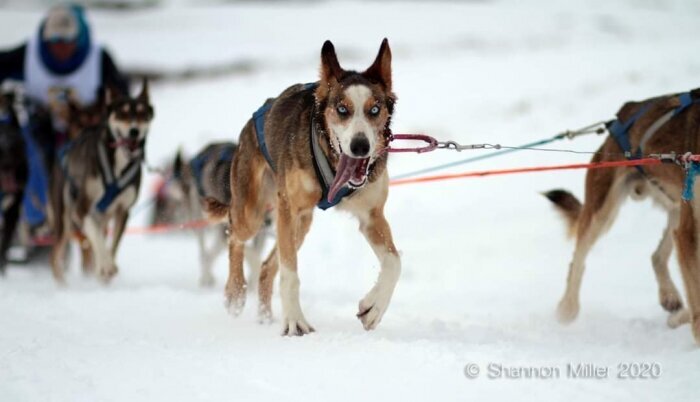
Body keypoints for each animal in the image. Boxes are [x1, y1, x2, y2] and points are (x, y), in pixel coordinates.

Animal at [51, 80, 154, 284]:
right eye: (122, 113)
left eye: (142, 114)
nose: (134, 131)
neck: (118, 165)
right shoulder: (82, 209)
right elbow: (96, 238)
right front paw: (105, 266)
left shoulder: (123, 210)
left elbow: (112, 245)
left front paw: (108, 266)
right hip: (64, 220)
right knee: (56, 256)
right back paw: (63, 284)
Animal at [205, 38, 400, 336]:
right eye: (342, 109)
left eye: (374, 109)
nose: (360, 146)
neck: (332, 161)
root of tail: (250, 124)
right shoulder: (289, 209)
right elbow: (290, 274)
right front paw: (295, 321)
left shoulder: (372, 216)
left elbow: (394, 263)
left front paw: (373, 308)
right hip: (254, 213)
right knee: (233, 235)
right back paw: (235, 292)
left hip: (302, 224)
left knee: (266, 268)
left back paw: (265, 317)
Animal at [544, 89, 700, 344]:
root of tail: (624, 111)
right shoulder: (690, 231)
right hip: (603, 210)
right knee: (578, 258)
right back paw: (566, 309)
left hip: (676, 210)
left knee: (657, 256)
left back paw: (672, 301)